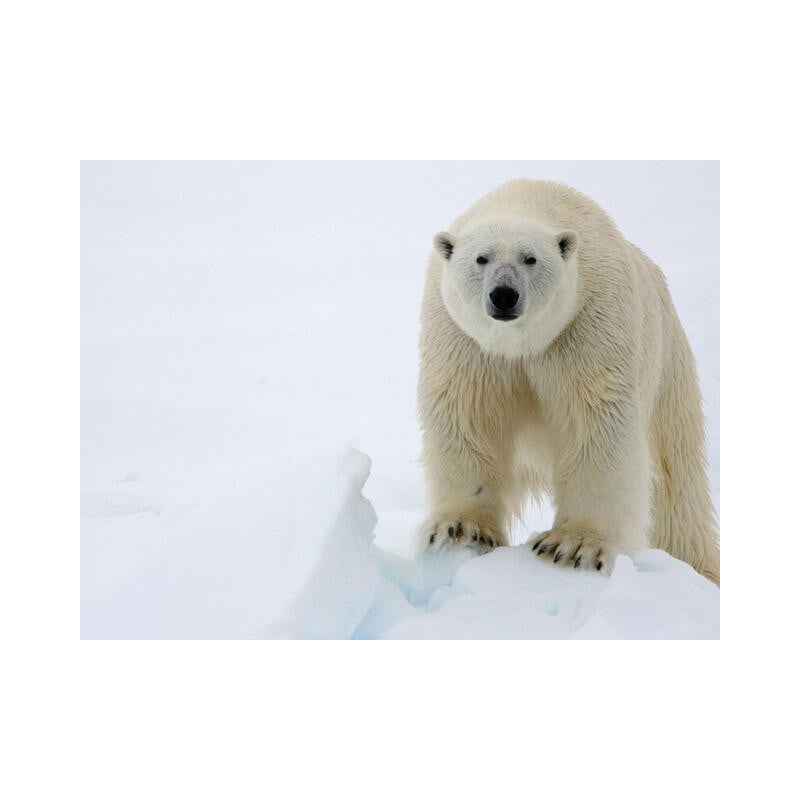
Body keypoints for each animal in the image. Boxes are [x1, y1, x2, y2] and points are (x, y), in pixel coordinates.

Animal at [416, 179, 720, 585]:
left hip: (667, 363)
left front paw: (573, 546)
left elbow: (595, 421)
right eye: (481, 259)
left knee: (677, 481)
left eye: (530, 258)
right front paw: (460, 529)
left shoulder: (588, 322)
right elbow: (468, 414)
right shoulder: (464, 339)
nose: (504, 295)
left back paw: (697, 567)